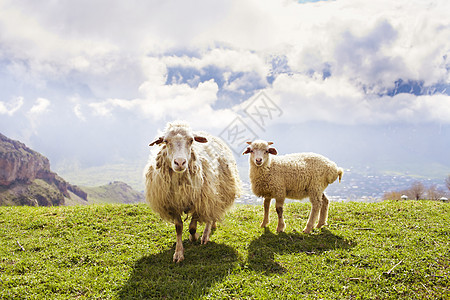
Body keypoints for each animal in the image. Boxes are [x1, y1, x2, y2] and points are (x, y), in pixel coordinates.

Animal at [146, 120, 241, 262]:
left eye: (191, 140)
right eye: (166, 141)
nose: (180, 162)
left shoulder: (200, 200)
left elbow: (191, 227)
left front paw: (194, 237)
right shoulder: (172, 204)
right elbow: (178, 227)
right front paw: (178, 253)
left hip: (213, 193)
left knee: (209, 215)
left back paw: (205, 235)